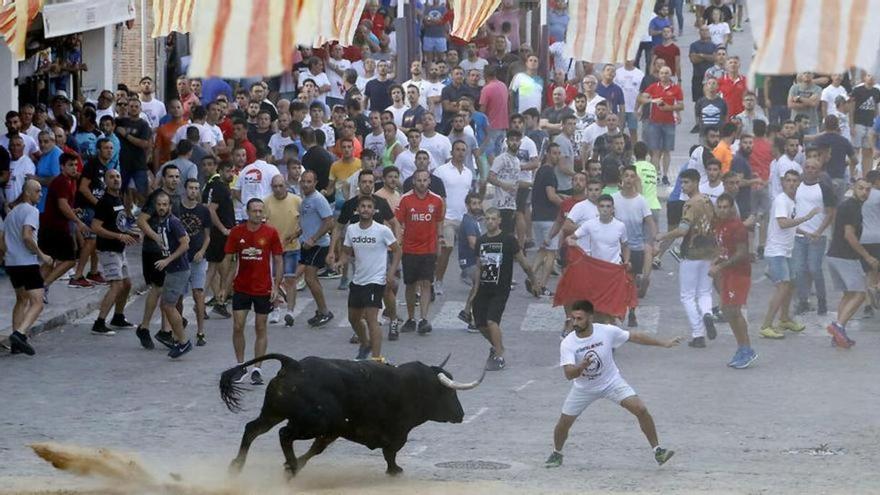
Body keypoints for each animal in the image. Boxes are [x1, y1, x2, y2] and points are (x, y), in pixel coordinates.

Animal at [217, 352, 484, 476]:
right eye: (449, 393)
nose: (461, 415)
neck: (415, 386)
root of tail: (294, 365)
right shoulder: (396, 434)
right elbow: (391, 454)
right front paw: (395, 471)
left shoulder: (335, 431)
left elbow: (316, 450)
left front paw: (296, 464)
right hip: (311, 423)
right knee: (284, 434)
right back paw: (290, 467)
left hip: (274, 413)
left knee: (253, 429)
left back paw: (237, 466)